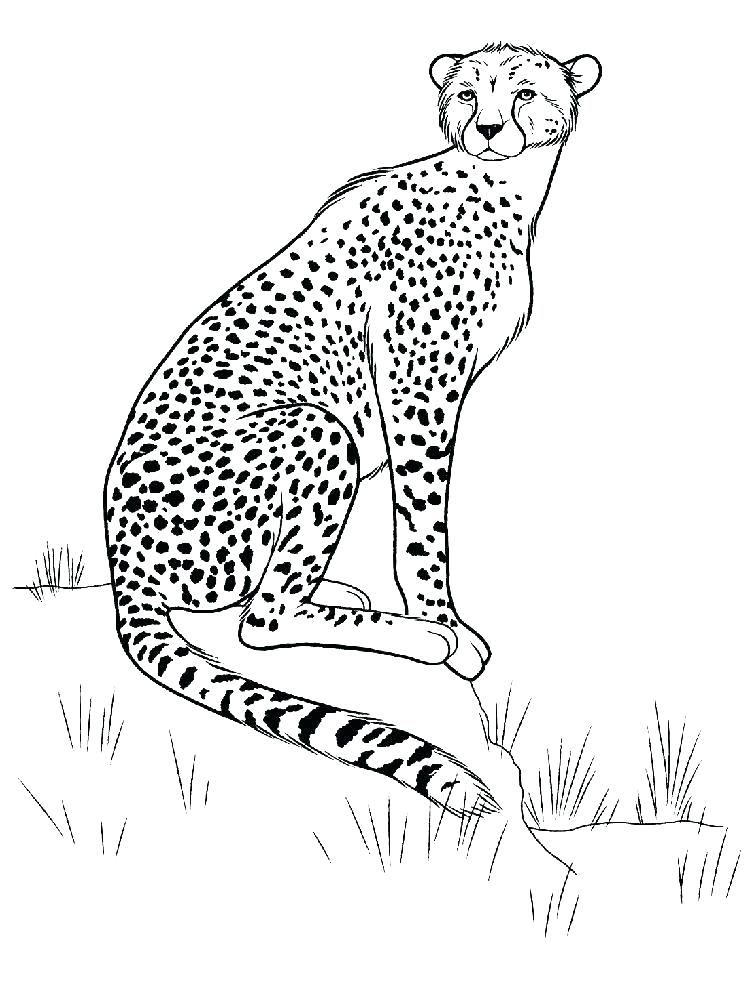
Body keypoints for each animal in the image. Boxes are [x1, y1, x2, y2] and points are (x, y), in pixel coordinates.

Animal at [104, 42, 602, 817]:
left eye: (524, 92)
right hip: (322, 428)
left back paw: (340, 591)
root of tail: (120, 550)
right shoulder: (417, 385)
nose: (489, 128)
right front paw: (444, 622)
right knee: (263, 620)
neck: (501, 188)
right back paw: (418, 638)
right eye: (467, 94)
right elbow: (424, 524)